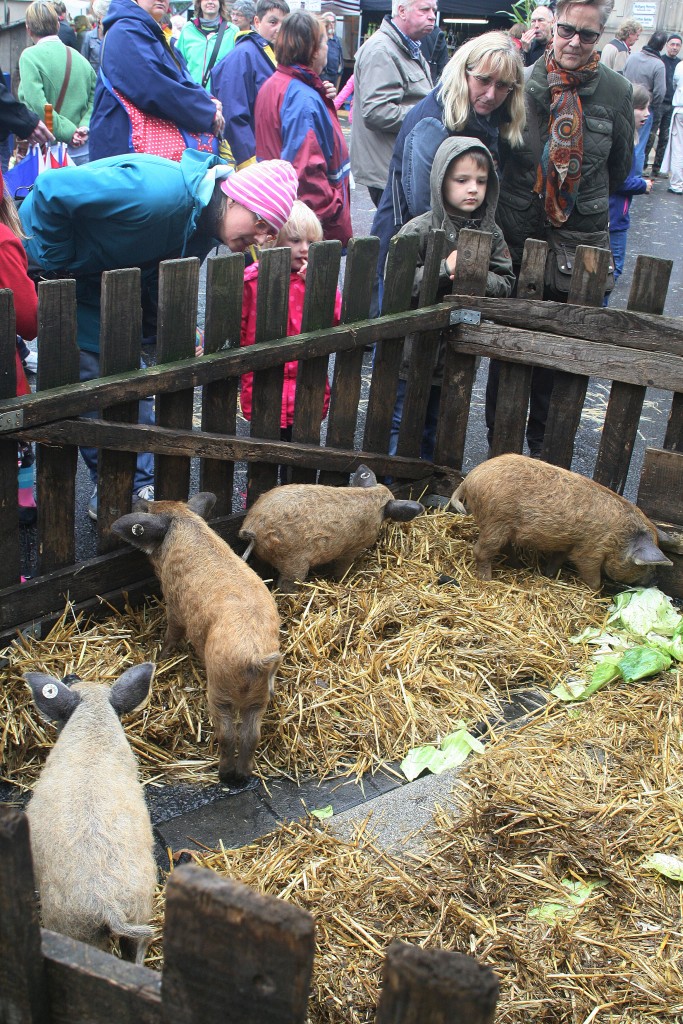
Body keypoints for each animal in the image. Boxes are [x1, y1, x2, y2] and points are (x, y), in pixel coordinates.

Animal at [111, 493, 281, 786]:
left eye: (150, 509)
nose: (137, 498)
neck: (183, 523)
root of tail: (255, 658)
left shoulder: (175, 603)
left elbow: (173, 633)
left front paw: (160, 656)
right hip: (259, 698)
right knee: (251, 736)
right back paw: (243, 776)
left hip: (220, 690)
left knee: (228, 734)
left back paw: (225, 776)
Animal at [239, 465, 424, 592]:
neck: (375, 501)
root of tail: (253, 527)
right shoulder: (353, 547)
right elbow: (343, 566)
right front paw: (342, 580)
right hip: (293, 562)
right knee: (286, 585)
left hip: (261, 555)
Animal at [450, 453, 673, 590]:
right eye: (646, 566)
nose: (655, 581)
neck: (621, 539)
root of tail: (469, 478)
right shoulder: (589, 550)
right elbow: (590, 573)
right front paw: (597, 591)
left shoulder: (567, 544)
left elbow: (557, 559)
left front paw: (548, 575)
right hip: (496, 521)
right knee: (481, 551)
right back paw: (488, 580)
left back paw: (519, 566)